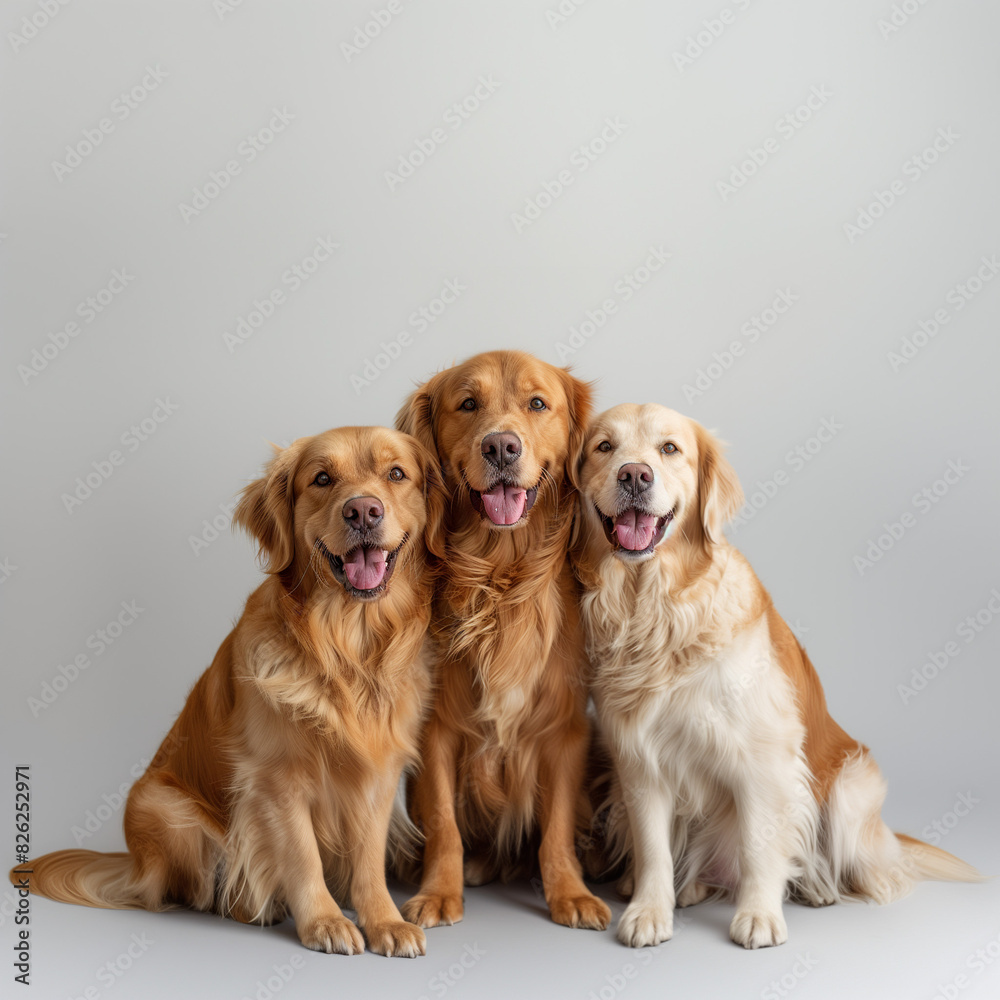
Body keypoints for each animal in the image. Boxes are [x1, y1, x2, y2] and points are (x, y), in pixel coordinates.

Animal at [12, 426, 446, 956]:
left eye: (397, 473)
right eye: (322, 479)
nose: (363, 511)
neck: (349, 652)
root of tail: (132, 863)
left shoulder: (378, 774)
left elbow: (367, 859)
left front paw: (384, 921)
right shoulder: (276, 779)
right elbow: (302, 856)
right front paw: (324, 922)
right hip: (167, 810)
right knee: (197, 892)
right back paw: (252, 907)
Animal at [394, 350, 612, 928]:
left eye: (538, 403)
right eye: (468, 404)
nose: (500, 446)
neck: (500, 575)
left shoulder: (564, 730)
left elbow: (556, 827)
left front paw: (569, 893)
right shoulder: (437, 731)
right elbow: (443, 824)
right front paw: (438, 892)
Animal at [576, 402, 980, 948]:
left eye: (670, 449)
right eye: (604, 447)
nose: (635, 475)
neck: (655, 609)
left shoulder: (764, 758)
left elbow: (759, 846)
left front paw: (759, 915)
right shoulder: (638, 762)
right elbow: (654, 849)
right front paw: (648, 912)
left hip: (851, 786)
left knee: (864, 868)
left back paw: (818, 888)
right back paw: (688, 888)